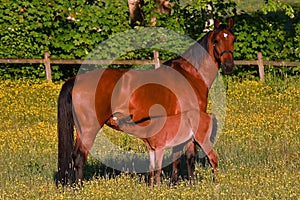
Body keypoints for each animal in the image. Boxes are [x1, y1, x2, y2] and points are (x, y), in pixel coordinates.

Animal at [56, 18, 234, 186]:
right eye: (216, 40)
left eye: (233, 39)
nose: (229, 66)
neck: (190, 75)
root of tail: (77, 80)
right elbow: (188, 156)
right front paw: (189, 183)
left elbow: (176, 156)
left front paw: (175, 183)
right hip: (89, 129)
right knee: (80, 157)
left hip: (81, 130)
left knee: (74, 157)